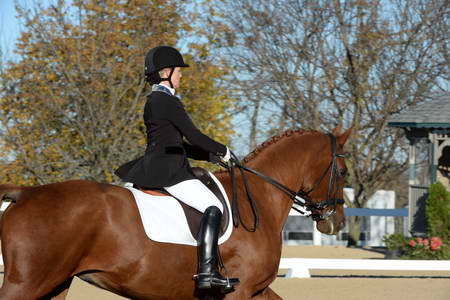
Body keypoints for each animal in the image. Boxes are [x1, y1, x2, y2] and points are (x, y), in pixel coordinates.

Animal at [0, 125, 352, 298]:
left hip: (54, 285)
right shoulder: (240, 291)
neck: (259, 197)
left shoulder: (256, 290)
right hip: (27, 283)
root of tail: (26, 192)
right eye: (344, 172)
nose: (336, 223)